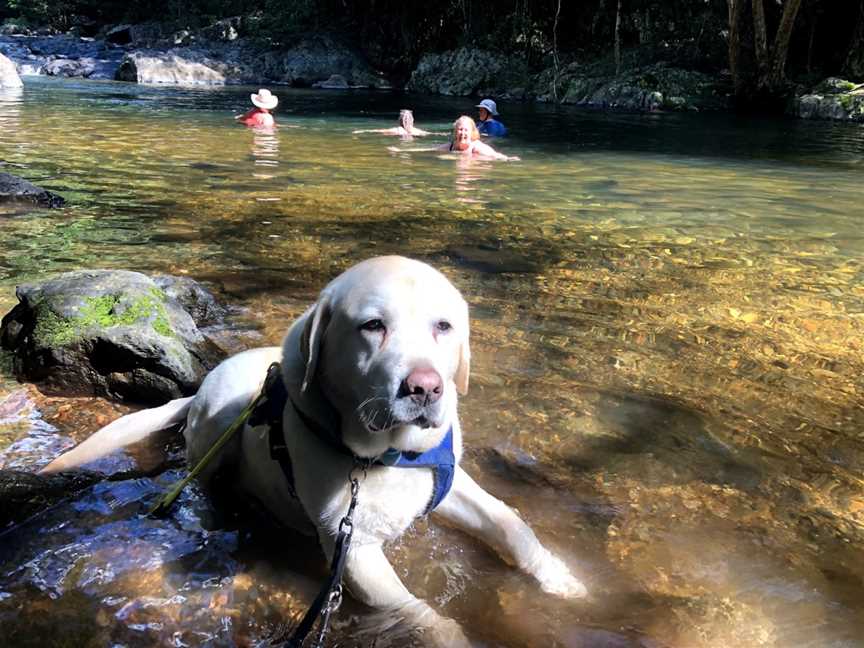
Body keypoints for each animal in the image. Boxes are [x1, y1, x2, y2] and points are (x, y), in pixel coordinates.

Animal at [45, 256, 588, 644]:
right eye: (372, 325)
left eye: (444, 326)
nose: (425, 388)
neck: (384, 456)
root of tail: (195, 391)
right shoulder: (354, 549)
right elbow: (423, 614)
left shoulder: (450, 487)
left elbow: (511, 525)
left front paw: (564, 581)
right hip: (219, 419)